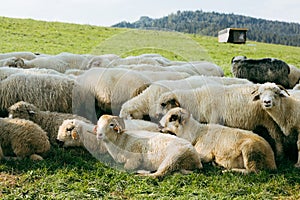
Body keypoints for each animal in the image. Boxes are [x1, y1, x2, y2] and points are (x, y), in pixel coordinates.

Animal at [157, 83, 286, 161]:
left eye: (163, 104)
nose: (157, 118)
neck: (198, 100)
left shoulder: (215, 119)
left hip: (271, 121)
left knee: (278, 137)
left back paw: (280, 155)